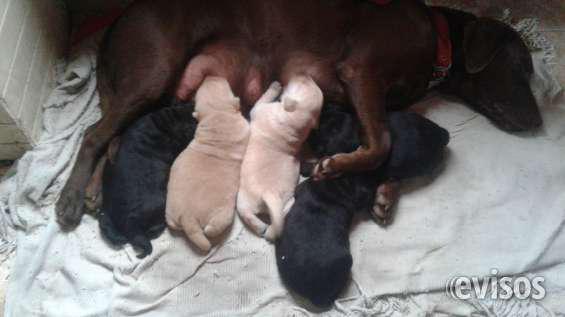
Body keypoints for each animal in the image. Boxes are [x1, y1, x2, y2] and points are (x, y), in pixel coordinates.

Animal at [165, 75, 249, 251]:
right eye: (227, 87)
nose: (211, 76)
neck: (217, 113)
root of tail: (187, 218)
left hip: (170, 212)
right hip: (222, 214)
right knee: (213, 228)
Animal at [236, 76, 322, 239]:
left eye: (302, 83)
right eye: (308, 82)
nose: (306, 76)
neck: (295, 120)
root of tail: (269, 194)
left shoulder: (259, 109)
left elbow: (263, 98)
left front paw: (275, 87)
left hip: (243, 199)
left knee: (246, 213)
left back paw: (260, 227)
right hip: (285, 197)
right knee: (283, 211)